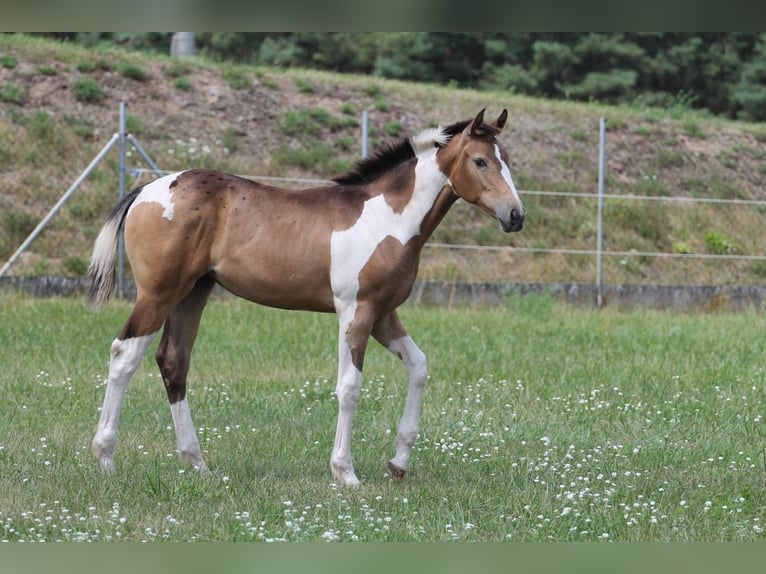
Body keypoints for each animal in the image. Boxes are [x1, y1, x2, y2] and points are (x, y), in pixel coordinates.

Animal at [88, 108, 525, 486]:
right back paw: (105, 457)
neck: (387, 219)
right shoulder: (356, 311)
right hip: (159, 293)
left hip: (193, 292)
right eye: (481, 161)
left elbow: (418, 366)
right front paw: (345, 473)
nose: (515, 216)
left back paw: (196, 463)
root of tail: (147, 188)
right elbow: (349, 387)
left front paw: (398, 463)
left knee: (173, 361)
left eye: (507, 160)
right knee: (124, 353)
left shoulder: (384, 314)